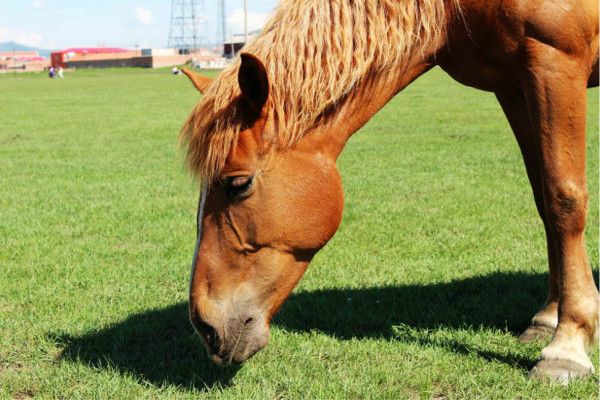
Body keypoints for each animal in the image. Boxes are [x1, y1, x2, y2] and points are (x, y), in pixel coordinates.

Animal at [179, 0, 600, 382]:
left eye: (238, 184)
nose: (204, 326)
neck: (453, 9)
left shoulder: (555, 60)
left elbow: (563, 199)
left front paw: (567, 347)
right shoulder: (513, 85)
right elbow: (544, 199)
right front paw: (547, 317)